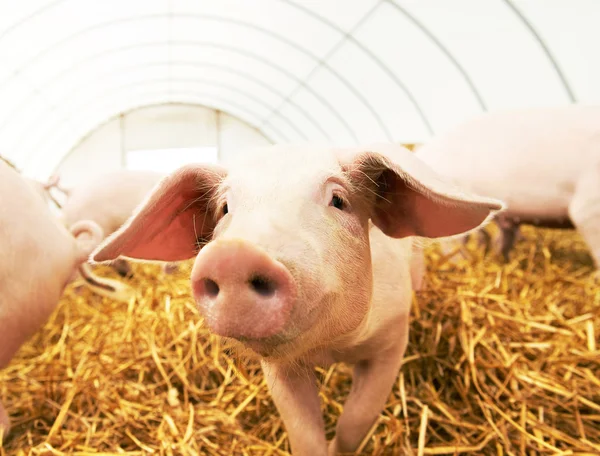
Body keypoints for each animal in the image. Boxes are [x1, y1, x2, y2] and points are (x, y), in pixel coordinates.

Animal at [91, 144, 504, 454]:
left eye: (338, 199)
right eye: (225, 208)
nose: (234, 255)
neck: (330, 349)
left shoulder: (391, 338)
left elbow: (356, 421)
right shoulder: (280, 368)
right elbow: (304, 435)